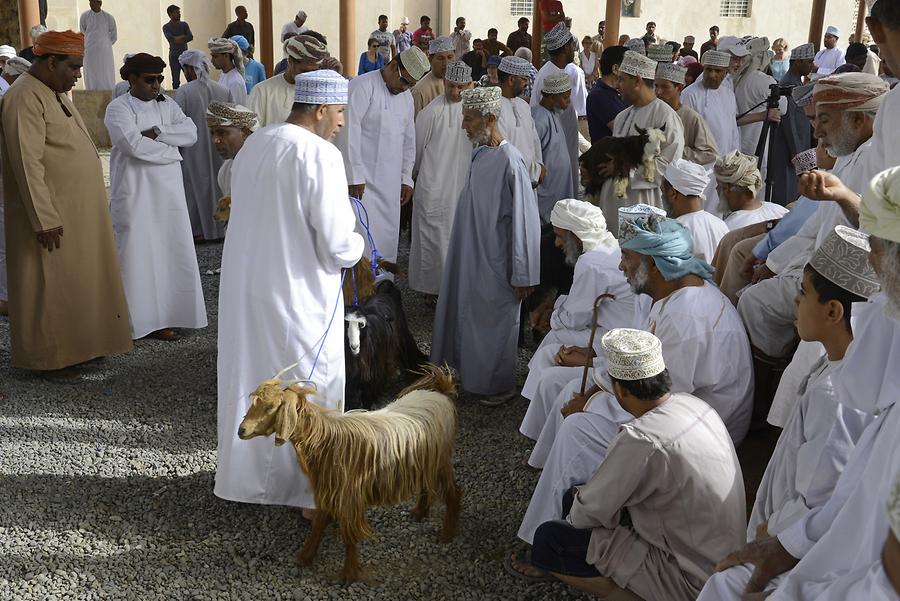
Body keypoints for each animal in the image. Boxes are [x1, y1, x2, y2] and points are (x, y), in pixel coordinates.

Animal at [236, 360, 460, 580]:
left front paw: (348, 574)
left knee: (453, 493)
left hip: (442, 460)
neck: (325, 439)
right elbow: (319, 523)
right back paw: (420, 512)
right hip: (425, 460)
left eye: (270, 407)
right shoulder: (327, 490)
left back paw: (447, 534)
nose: (241, 430)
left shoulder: (349, 495)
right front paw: (305, 557)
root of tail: (440, 392)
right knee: (427, 483)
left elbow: (349, 535)